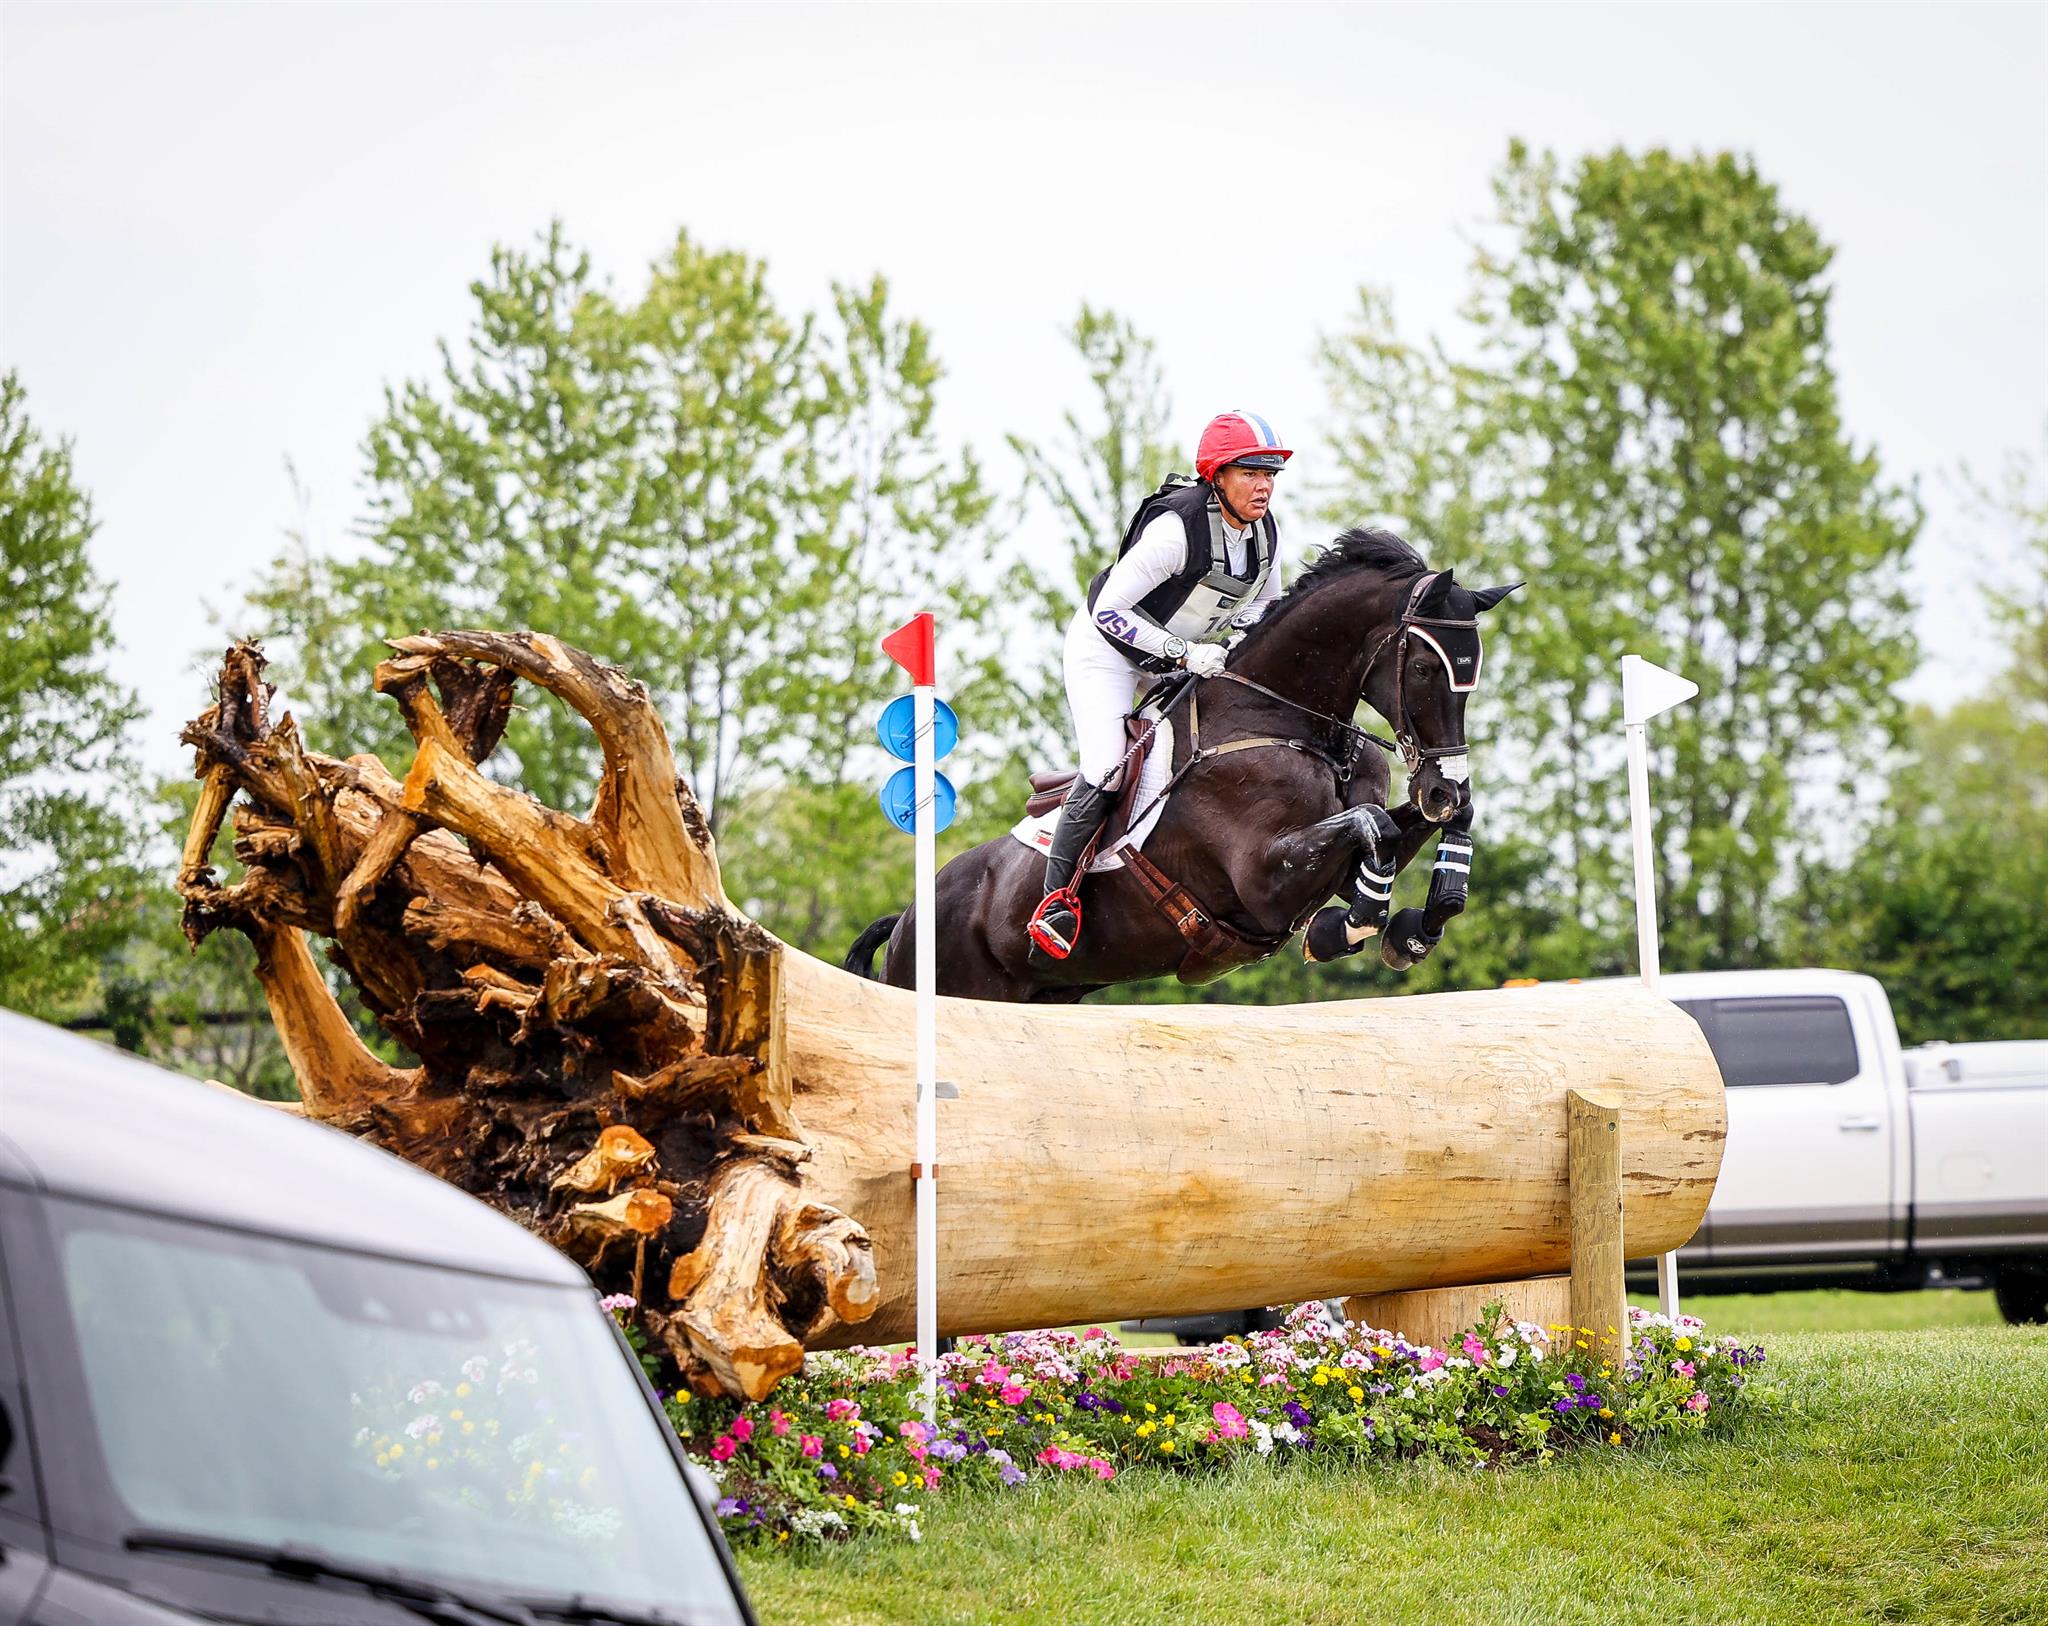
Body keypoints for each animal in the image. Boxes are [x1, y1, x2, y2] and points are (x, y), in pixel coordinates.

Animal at [839, 524, 1515, 995]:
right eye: (1425, 668)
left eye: (1473, 674)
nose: (1444, 786)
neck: (1284, 721)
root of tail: (906, 918)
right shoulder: (1264, 881)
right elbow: (1373, 828)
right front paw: (1350, 927)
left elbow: (1411, 829)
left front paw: (1418, 925)